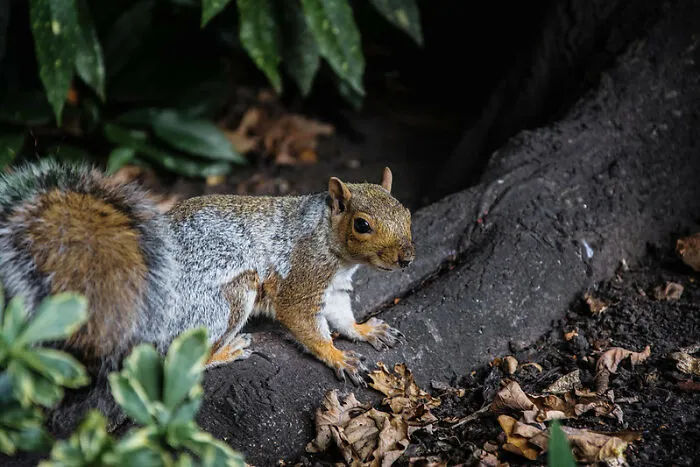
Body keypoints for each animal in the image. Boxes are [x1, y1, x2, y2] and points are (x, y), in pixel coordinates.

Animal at [0, 159, 414, 426]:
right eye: (362, 225)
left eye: (407, 212)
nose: (407, 258)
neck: (328, 235)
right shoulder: (304, 275)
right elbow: (301, 319)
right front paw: (338, 357)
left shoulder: (335, 286)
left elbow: (341, 315)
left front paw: (365, 330)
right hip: (225, 302)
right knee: (179, 359)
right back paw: (226, 351)